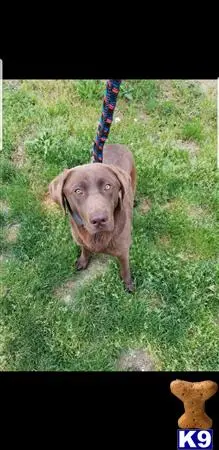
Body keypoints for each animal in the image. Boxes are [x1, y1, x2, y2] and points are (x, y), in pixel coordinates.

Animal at [48, 144, 136, 292]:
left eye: (108, 186)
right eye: (78, 191)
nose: (99, 220)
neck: (97, 237)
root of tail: (117, 144)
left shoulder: (123, 251)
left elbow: (125, 269)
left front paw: (128, 284)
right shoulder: (81, 239)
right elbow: (85, 249)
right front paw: (83, 261)